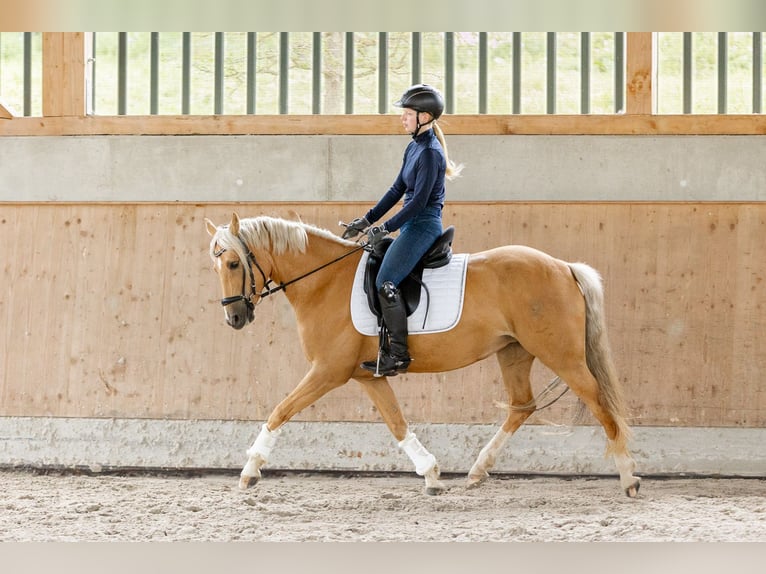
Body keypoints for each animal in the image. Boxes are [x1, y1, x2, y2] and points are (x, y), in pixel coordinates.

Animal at [204, 215, 640, 500]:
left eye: (233, 263)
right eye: (217, 266)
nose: (234, 318)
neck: (325, 281)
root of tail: (564, 267)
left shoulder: (328, 371)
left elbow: (280, 410)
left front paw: (249, 472)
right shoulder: (369, 376)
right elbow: (397, 424)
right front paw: (431, 475)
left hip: (560, 355)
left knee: (600, 402)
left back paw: (628, 477)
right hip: (514, 352)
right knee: (522, 406)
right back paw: (477, 471)